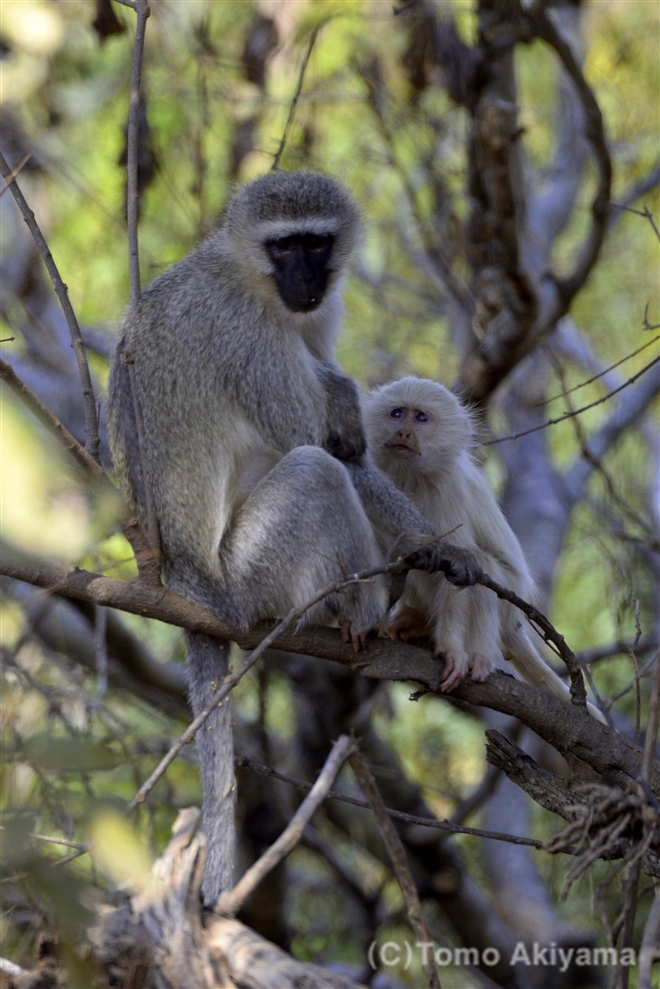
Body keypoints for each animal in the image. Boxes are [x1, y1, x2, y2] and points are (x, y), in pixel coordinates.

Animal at [108, 172, 480, 904]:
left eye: (317, 243)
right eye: (284, 246)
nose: (306, 279)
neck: (248, 276)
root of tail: (189, 584)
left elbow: (334, 404)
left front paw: (343, 393)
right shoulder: (247, 333)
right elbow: (320, 447)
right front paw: (435, 545)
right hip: (250, 576)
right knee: (314, 470)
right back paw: (369, 611)